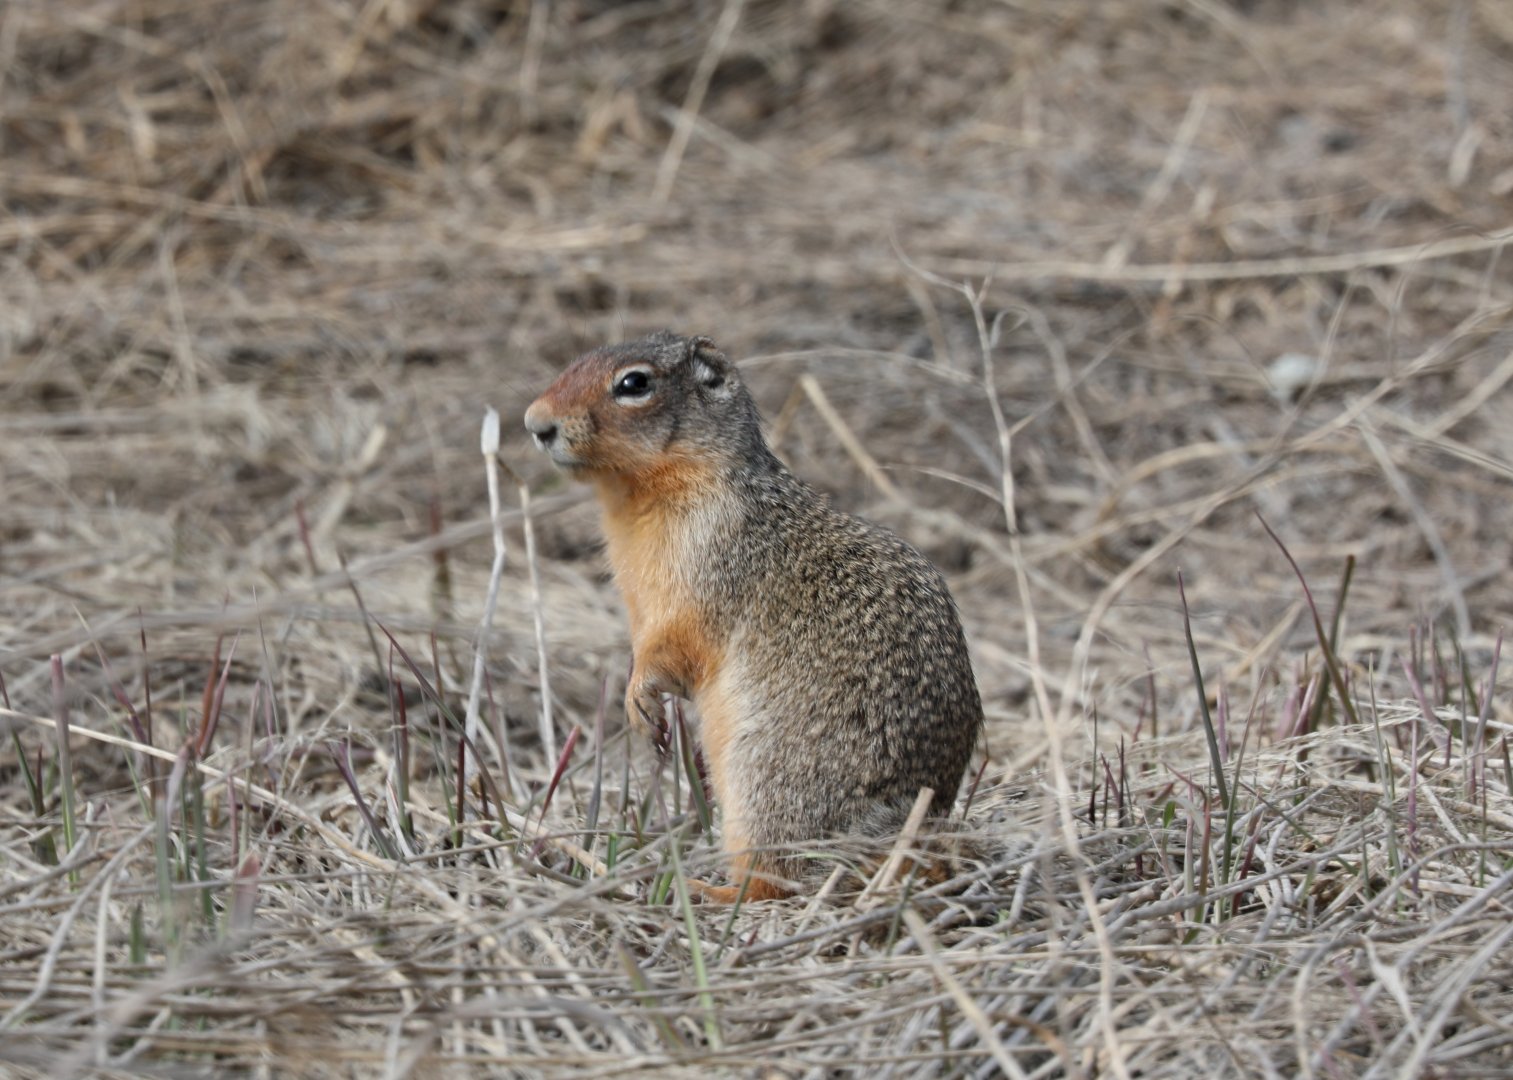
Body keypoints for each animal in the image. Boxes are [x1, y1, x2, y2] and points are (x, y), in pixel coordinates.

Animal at [524, 331, 983, 901]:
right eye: (577, 361)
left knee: (774, 879)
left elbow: (673, 646)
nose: (535, 423)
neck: (641, 493)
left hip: (763, 785)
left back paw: (705, 889)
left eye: (634, 383)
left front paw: (639, 699)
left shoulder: (705, 575)